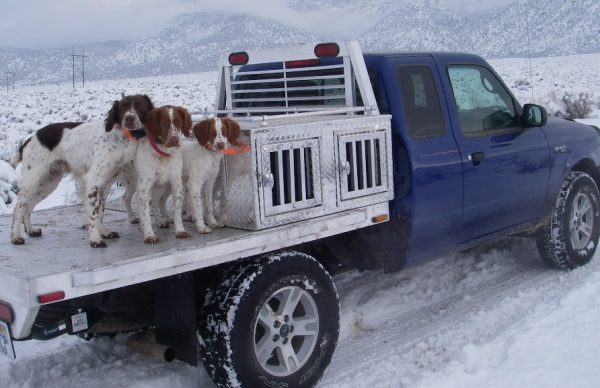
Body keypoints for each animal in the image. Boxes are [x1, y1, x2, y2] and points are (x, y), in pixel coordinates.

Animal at [11, 94, 155, 247]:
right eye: (123, 107)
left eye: (139, 106)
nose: (129, 118)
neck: (121, 140)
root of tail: (29, 140)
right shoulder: (93, 181)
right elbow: (94, 213)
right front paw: (95, 239)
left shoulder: (105, 184)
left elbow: (101, 211)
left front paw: (104, 232)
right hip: (33, 180)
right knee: (18, 208)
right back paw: (15, 236)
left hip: (47, 183)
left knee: (27, 207)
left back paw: (31, 231)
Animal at [136, 103, 192, 242]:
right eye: (163, 123)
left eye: (179, 122)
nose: (174, 140)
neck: (163, 154)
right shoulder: (143, 188)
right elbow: (145, 213)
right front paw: (149, 234)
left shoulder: (176, 184)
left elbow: (177, 211)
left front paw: (180, 230)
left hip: (164, 188)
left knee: (157, 201)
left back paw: (162, 220)